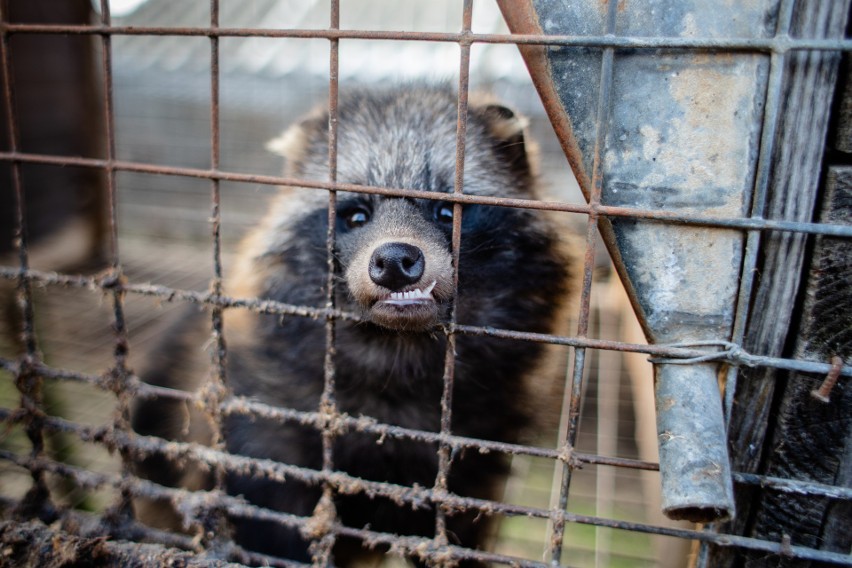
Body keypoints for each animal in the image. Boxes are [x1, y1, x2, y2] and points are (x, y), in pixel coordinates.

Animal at [131, 86, 572, 564]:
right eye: (356, 214)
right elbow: (268, 524)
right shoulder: (260, 427)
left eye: (447, 212)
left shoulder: (479, 446)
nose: (395, 261)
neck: (397, 355)